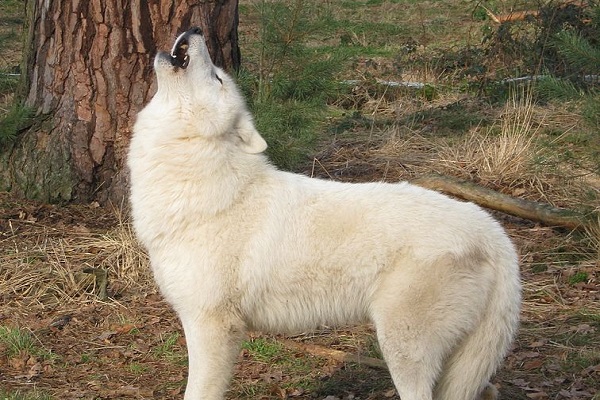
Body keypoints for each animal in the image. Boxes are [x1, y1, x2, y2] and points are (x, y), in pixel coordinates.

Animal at [127, 27, 520, 400]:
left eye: (218, 78)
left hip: (402, 347)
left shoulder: (213, 325)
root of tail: (493, 232)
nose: (194, 29)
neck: (198, 175)